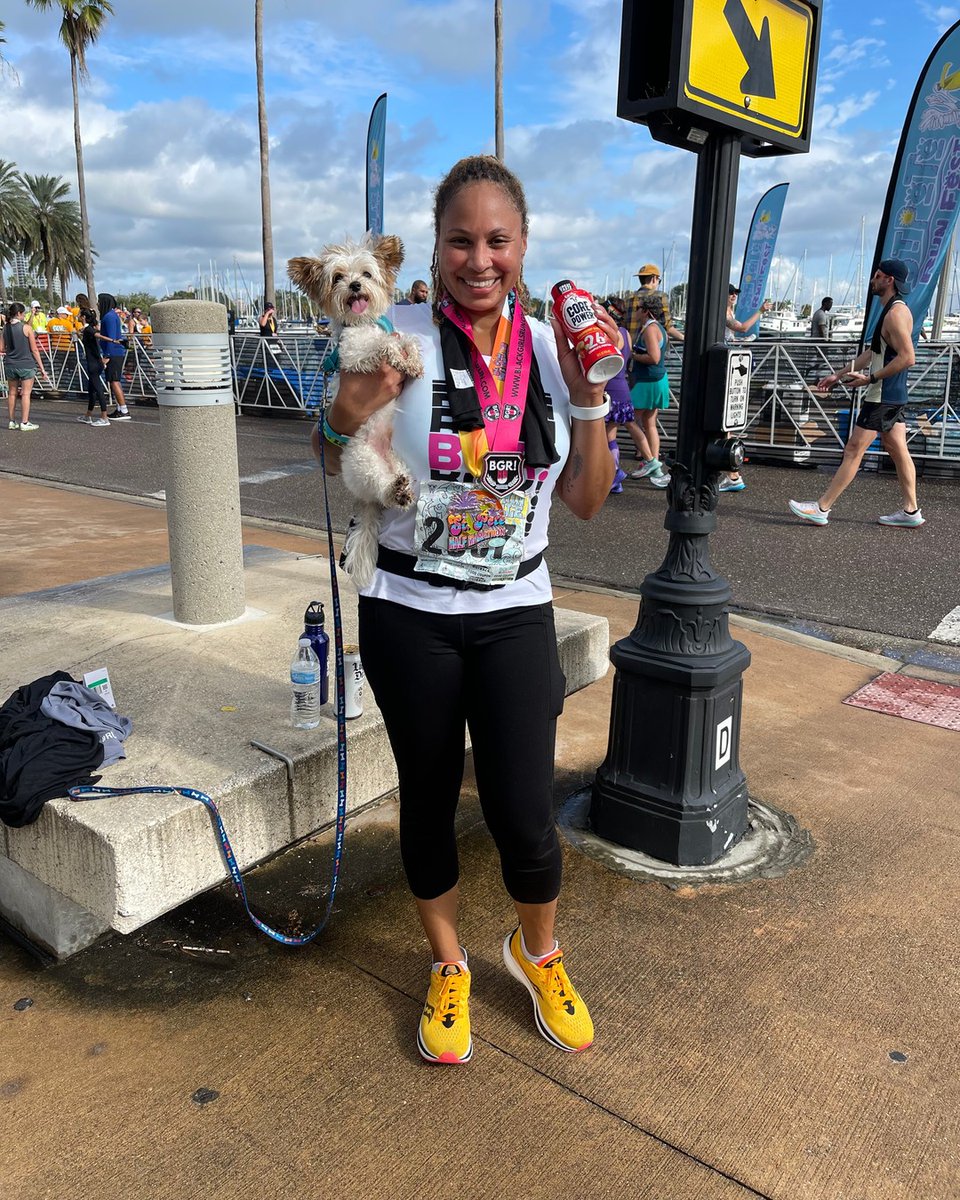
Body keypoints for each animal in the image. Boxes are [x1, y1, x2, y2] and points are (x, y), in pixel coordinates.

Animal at [289, 231, 424, 588]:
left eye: (366, 274)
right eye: (337, 277)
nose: (353, 286)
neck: (362, 323)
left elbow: (406, 338)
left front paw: (413, 359)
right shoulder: (353, 354)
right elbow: (383, 344)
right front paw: (398, 355)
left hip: (400, 461)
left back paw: (402, 489)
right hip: (364, 463)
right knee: (381, 488)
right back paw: (395, 492)